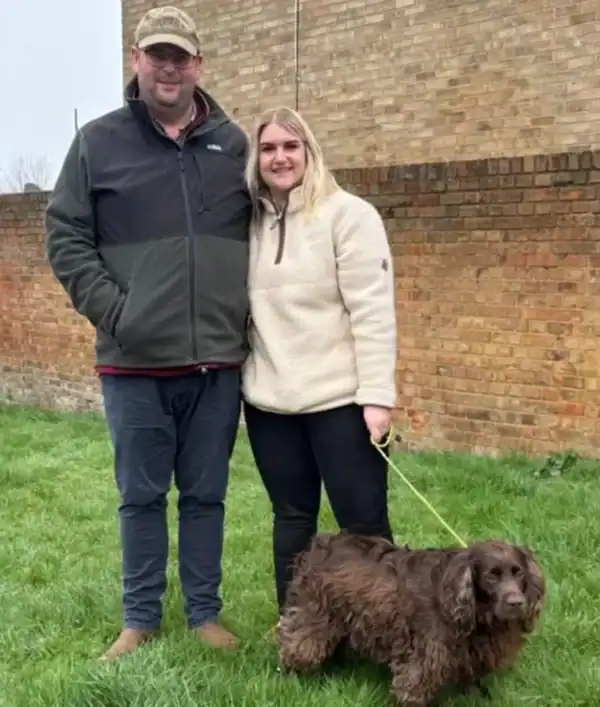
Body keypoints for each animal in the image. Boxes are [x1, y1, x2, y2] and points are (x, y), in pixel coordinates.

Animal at [277, 532, 546, 706]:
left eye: (518, 572)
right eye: (491, 576)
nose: (516, 603)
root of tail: (320, 544)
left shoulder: (468, 653)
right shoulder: (427, 654)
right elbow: (414, 685)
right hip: (315, 616)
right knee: (297, 645)